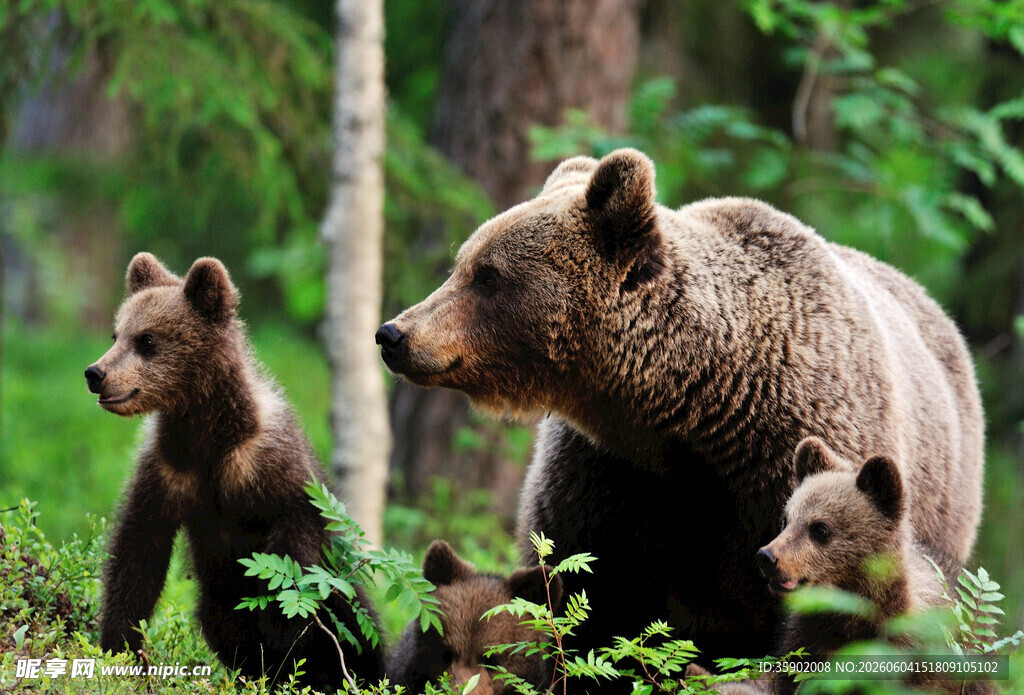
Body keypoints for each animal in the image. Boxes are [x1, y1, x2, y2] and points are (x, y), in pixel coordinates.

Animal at [85, 253, 383, 691]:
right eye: (115, 334)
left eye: (147, 340)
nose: (96, 374)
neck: (207, 433)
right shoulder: (168, 471)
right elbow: (137, 555)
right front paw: (121, 646)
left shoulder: (268, 466)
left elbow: (295, 543)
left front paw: (283, 631)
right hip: (217, 598)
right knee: (220, 621)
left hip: (344, 594)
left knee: (357, 631)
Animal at [375, 148, 984, 670]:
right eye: (461, 263)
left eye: (488, 275)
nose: (393, 334)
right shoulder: (609, 479)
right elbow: (589, 591)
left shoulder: (791, 462)